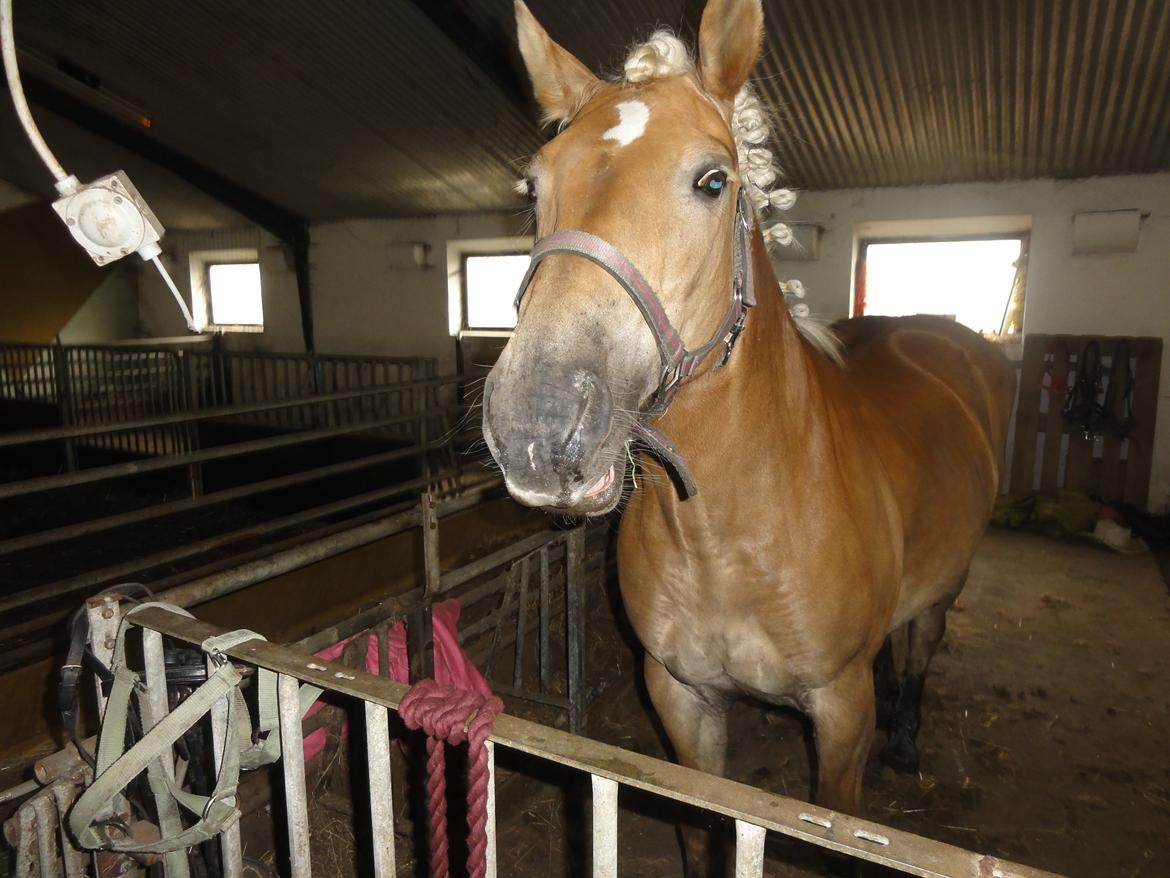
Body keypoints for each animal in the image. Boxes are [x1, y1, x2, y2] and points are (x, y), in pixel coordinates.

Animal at [484, 0, 1015, 875]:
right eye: (534, 185)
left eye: (712, 180)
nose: (537, 420)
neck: (729, 533)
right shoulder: (680, 698)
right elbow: (705, 829)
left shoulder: (841, 713)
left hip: (947, 585)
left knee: (923, 644)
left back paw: (909, 741)